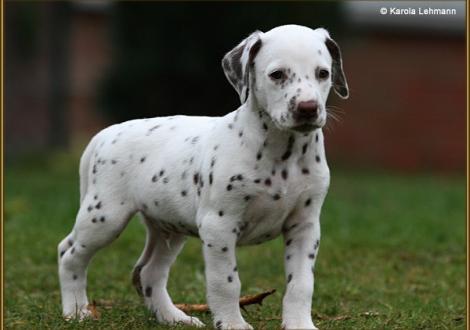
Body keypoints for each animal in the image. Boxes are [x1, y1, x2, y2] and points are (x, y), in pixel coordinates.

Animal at [57, 24, 348, 328]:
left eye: (323, 73)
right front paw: (232, 323)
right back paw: (76, 310)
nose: (308, 108)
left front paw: (300, 323)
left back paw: (173, 317)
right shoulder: (219, 225)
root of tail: (105, 134)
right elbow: (226, 282)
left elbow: (301, 283)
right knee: (69, 253)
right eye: (277, 74)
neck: (282, 153)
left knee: (149, 272)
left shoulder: (304, 226)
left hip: (168, 228)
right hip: (104, 217)